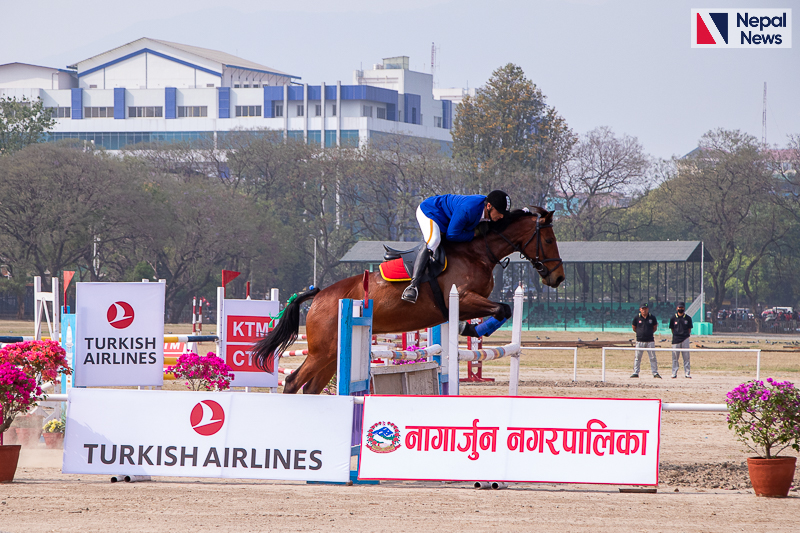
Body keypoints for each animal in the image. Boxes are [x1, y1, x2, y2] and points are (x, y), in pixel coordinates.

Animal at [253, 206, 564, 392]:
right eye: (549, 240)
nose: (558, 278)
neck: (478, 252)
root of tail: (319, 297)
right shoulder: (462, 298)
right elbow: (504, 308)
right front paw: (477, 329)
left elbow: (501, 310)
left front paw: (469, 329)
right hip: (321, 352)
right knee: (293, 381)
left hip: (331, 354)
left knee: (311, 387)